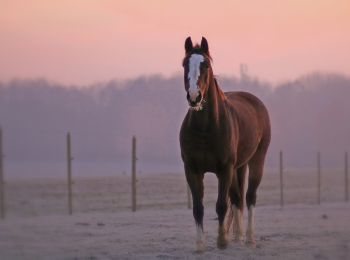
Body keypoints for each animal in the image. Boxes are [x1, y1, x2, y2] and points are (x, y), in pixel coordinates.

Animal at [180, 37, 270, 252]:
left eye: (206, 64)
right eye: (185, 64)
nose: (194, 97)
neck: (206, 129)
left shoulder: (225, 169)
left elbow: (221, 205)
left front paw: (222, 241)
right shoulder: (192, 170)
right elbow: (198, 208)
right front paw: (200, 244)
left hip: (256, 161)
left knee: (250, 197)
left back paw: (249, 238)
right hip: (238, 167)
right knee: (237, 198)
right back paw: (237, 237)